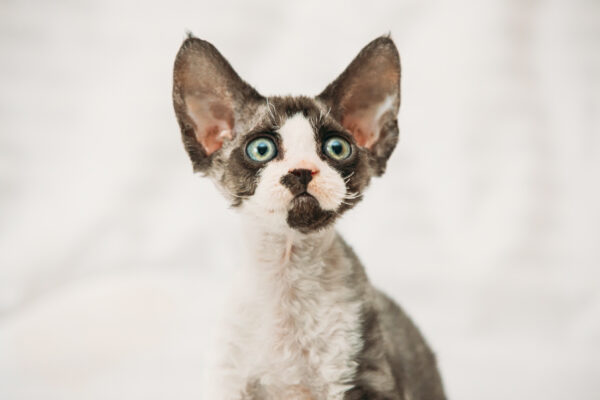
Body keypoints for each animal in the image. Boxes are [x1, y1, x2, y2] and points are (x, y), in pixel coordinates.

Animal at [171, 33, 442, 400]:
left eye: (337, 148)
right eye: (261, 149)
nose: (301, 171)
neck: (287, 272)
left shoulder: (367, 375)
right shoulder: (229, 381)